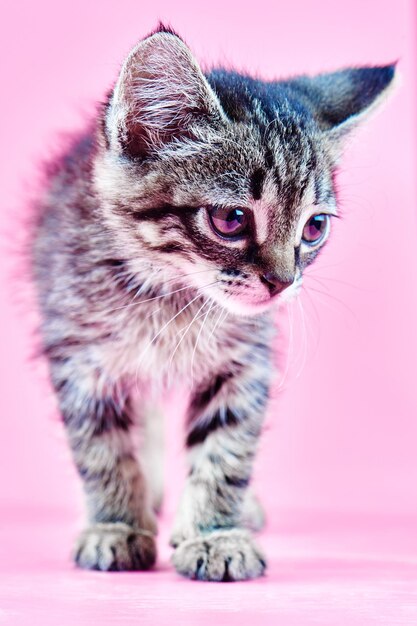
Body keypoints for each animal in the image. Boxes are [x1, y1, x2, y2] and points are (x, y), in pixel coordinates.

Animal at [30, 25, 394, 580]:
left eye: (314, 227)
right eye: (230, 219)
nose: (282, 282)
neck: (171, 295)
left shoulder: (243, 362)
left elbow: (227, 449)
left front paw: (215, 533)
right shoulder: (81, 355)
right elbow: (103, 446)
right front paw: (116, 524)